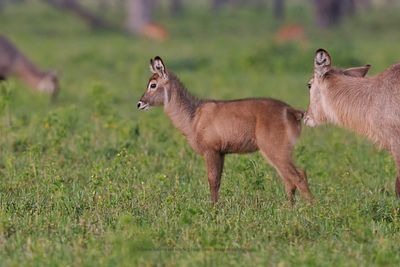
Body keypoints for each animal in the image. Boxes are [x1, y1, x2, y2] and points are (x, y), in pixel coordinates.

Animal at [138, 55, 312, 204]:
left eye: (153, 84)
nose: (139, 103)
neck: (193, 116)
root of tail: (293, 111)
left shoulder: (211, 151)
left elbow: (212, 181)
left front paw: (213, 209)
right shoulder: (221, 153)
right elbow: (218, 182)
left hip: (275, 149)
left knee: (298, 175)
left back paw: (311, 209)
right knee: (290, 179)